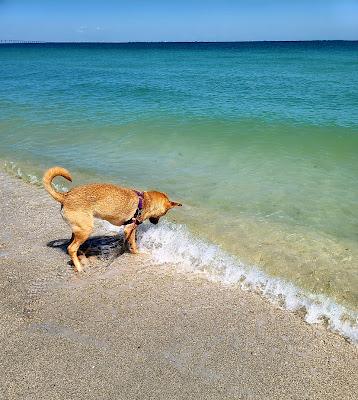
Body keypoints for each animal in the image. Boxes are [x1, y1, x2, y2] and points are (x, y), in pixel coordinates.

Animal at [42, 166, 182, 272]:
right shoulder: (129, 228)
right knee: (71, 248)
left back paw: (82, 256)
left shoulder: (130, 229)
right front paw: (135, 253)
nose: (155, 223)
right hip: (86, 229)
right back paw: (80, 267)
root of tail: (65, 196)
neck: (144, 201)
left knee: (73, 245)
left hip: (79, 228)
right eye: (164, 213)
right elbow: (132, 243)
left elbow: (129, 241)